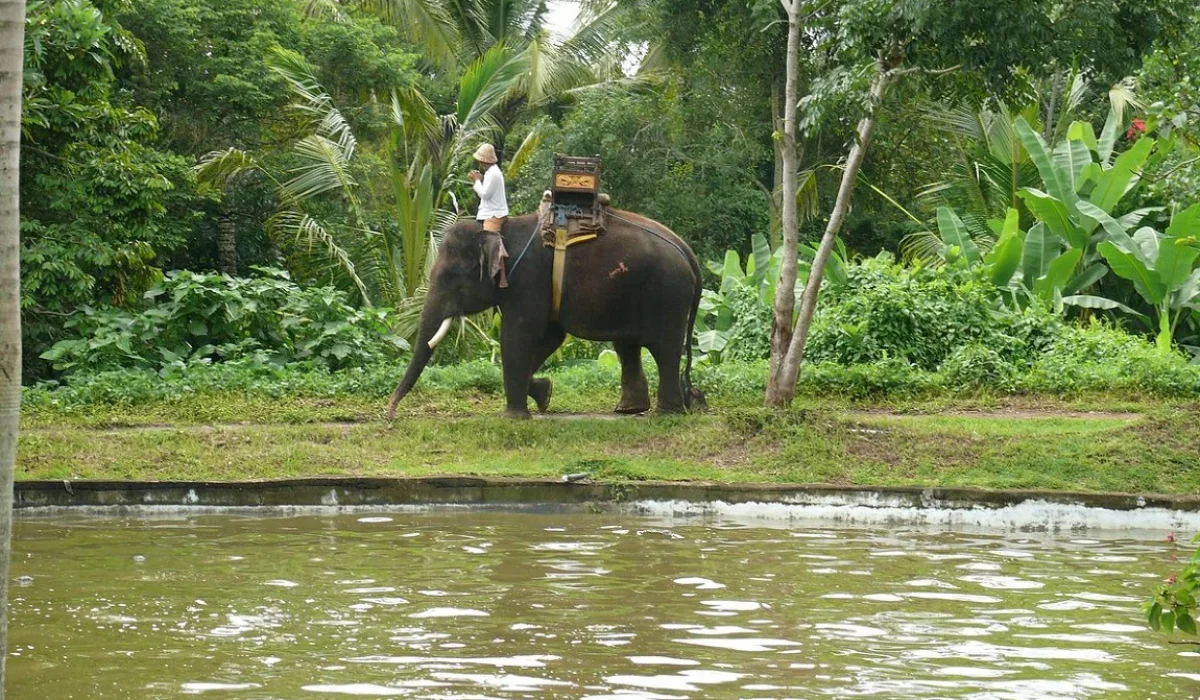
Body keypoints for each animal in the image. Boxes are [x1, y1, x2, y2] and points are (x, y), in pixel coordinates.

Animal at [386, 209, 705, 419]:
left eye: (449, 277)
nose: (390, 415)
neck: (499, 229)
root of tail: (688, 251)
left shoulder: (527, 280)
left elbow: (517, 336)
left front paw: (514, 417)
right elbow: (551, 336)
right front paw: (544, 394)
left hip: (668, 293)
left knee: (664, 348)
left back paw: (666, 415)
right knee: (628, 346)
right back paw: (630, 409)